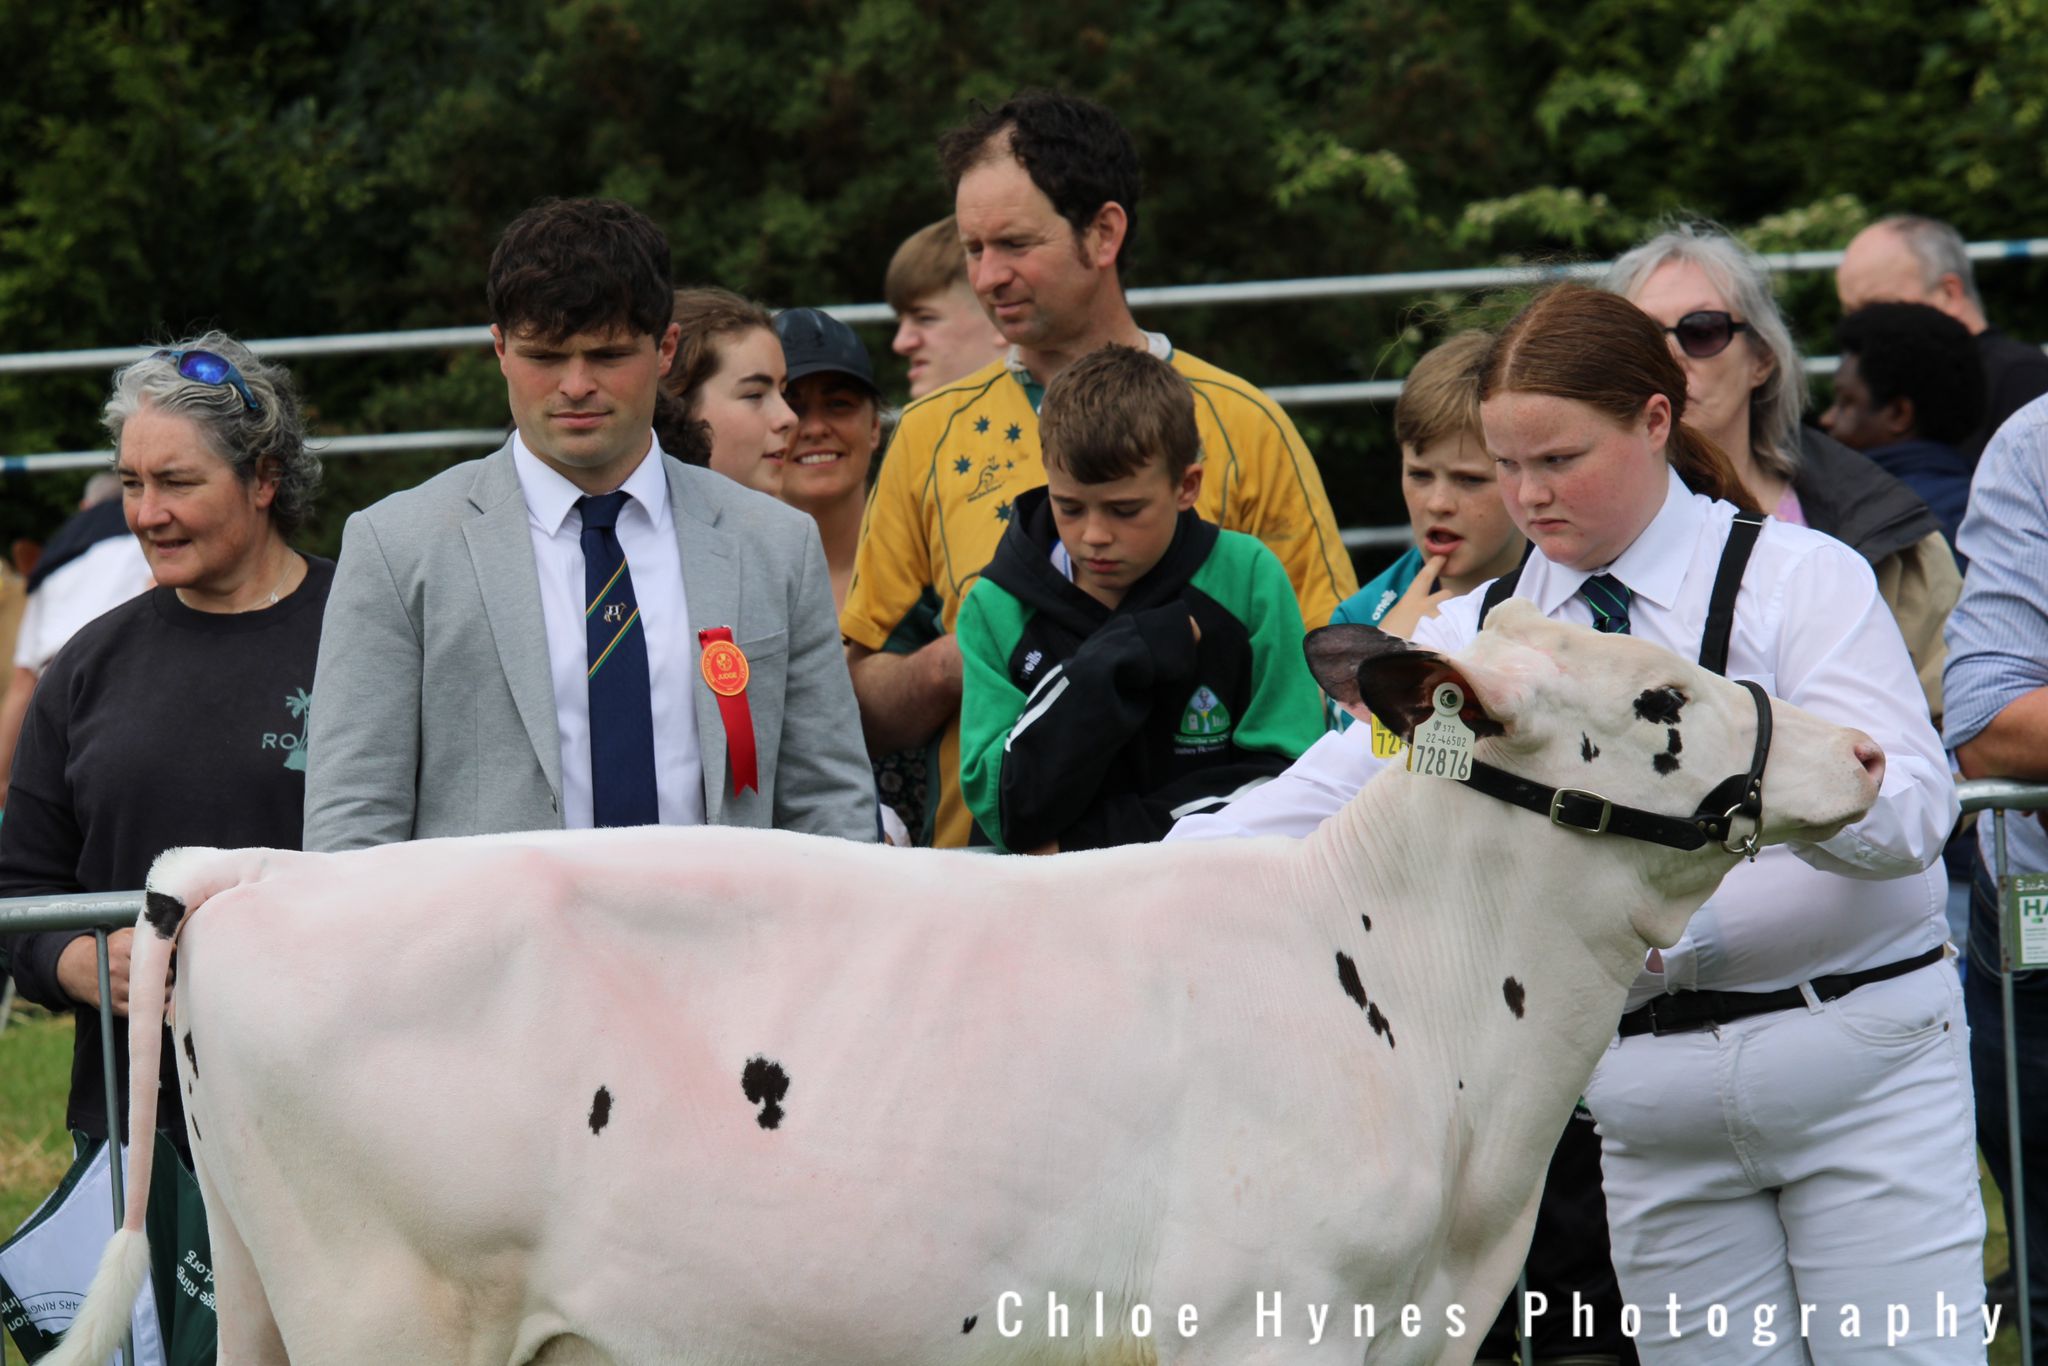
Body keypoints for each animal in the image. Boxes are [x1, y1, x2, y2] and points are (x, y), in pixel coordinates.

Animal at [51, 600, 1883, 1365]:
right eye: (1658, 701)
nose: (1868, 746)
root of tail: (253, 868)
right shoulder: (1258, 1329)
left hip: (274, 1307)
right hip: (395, 1318)